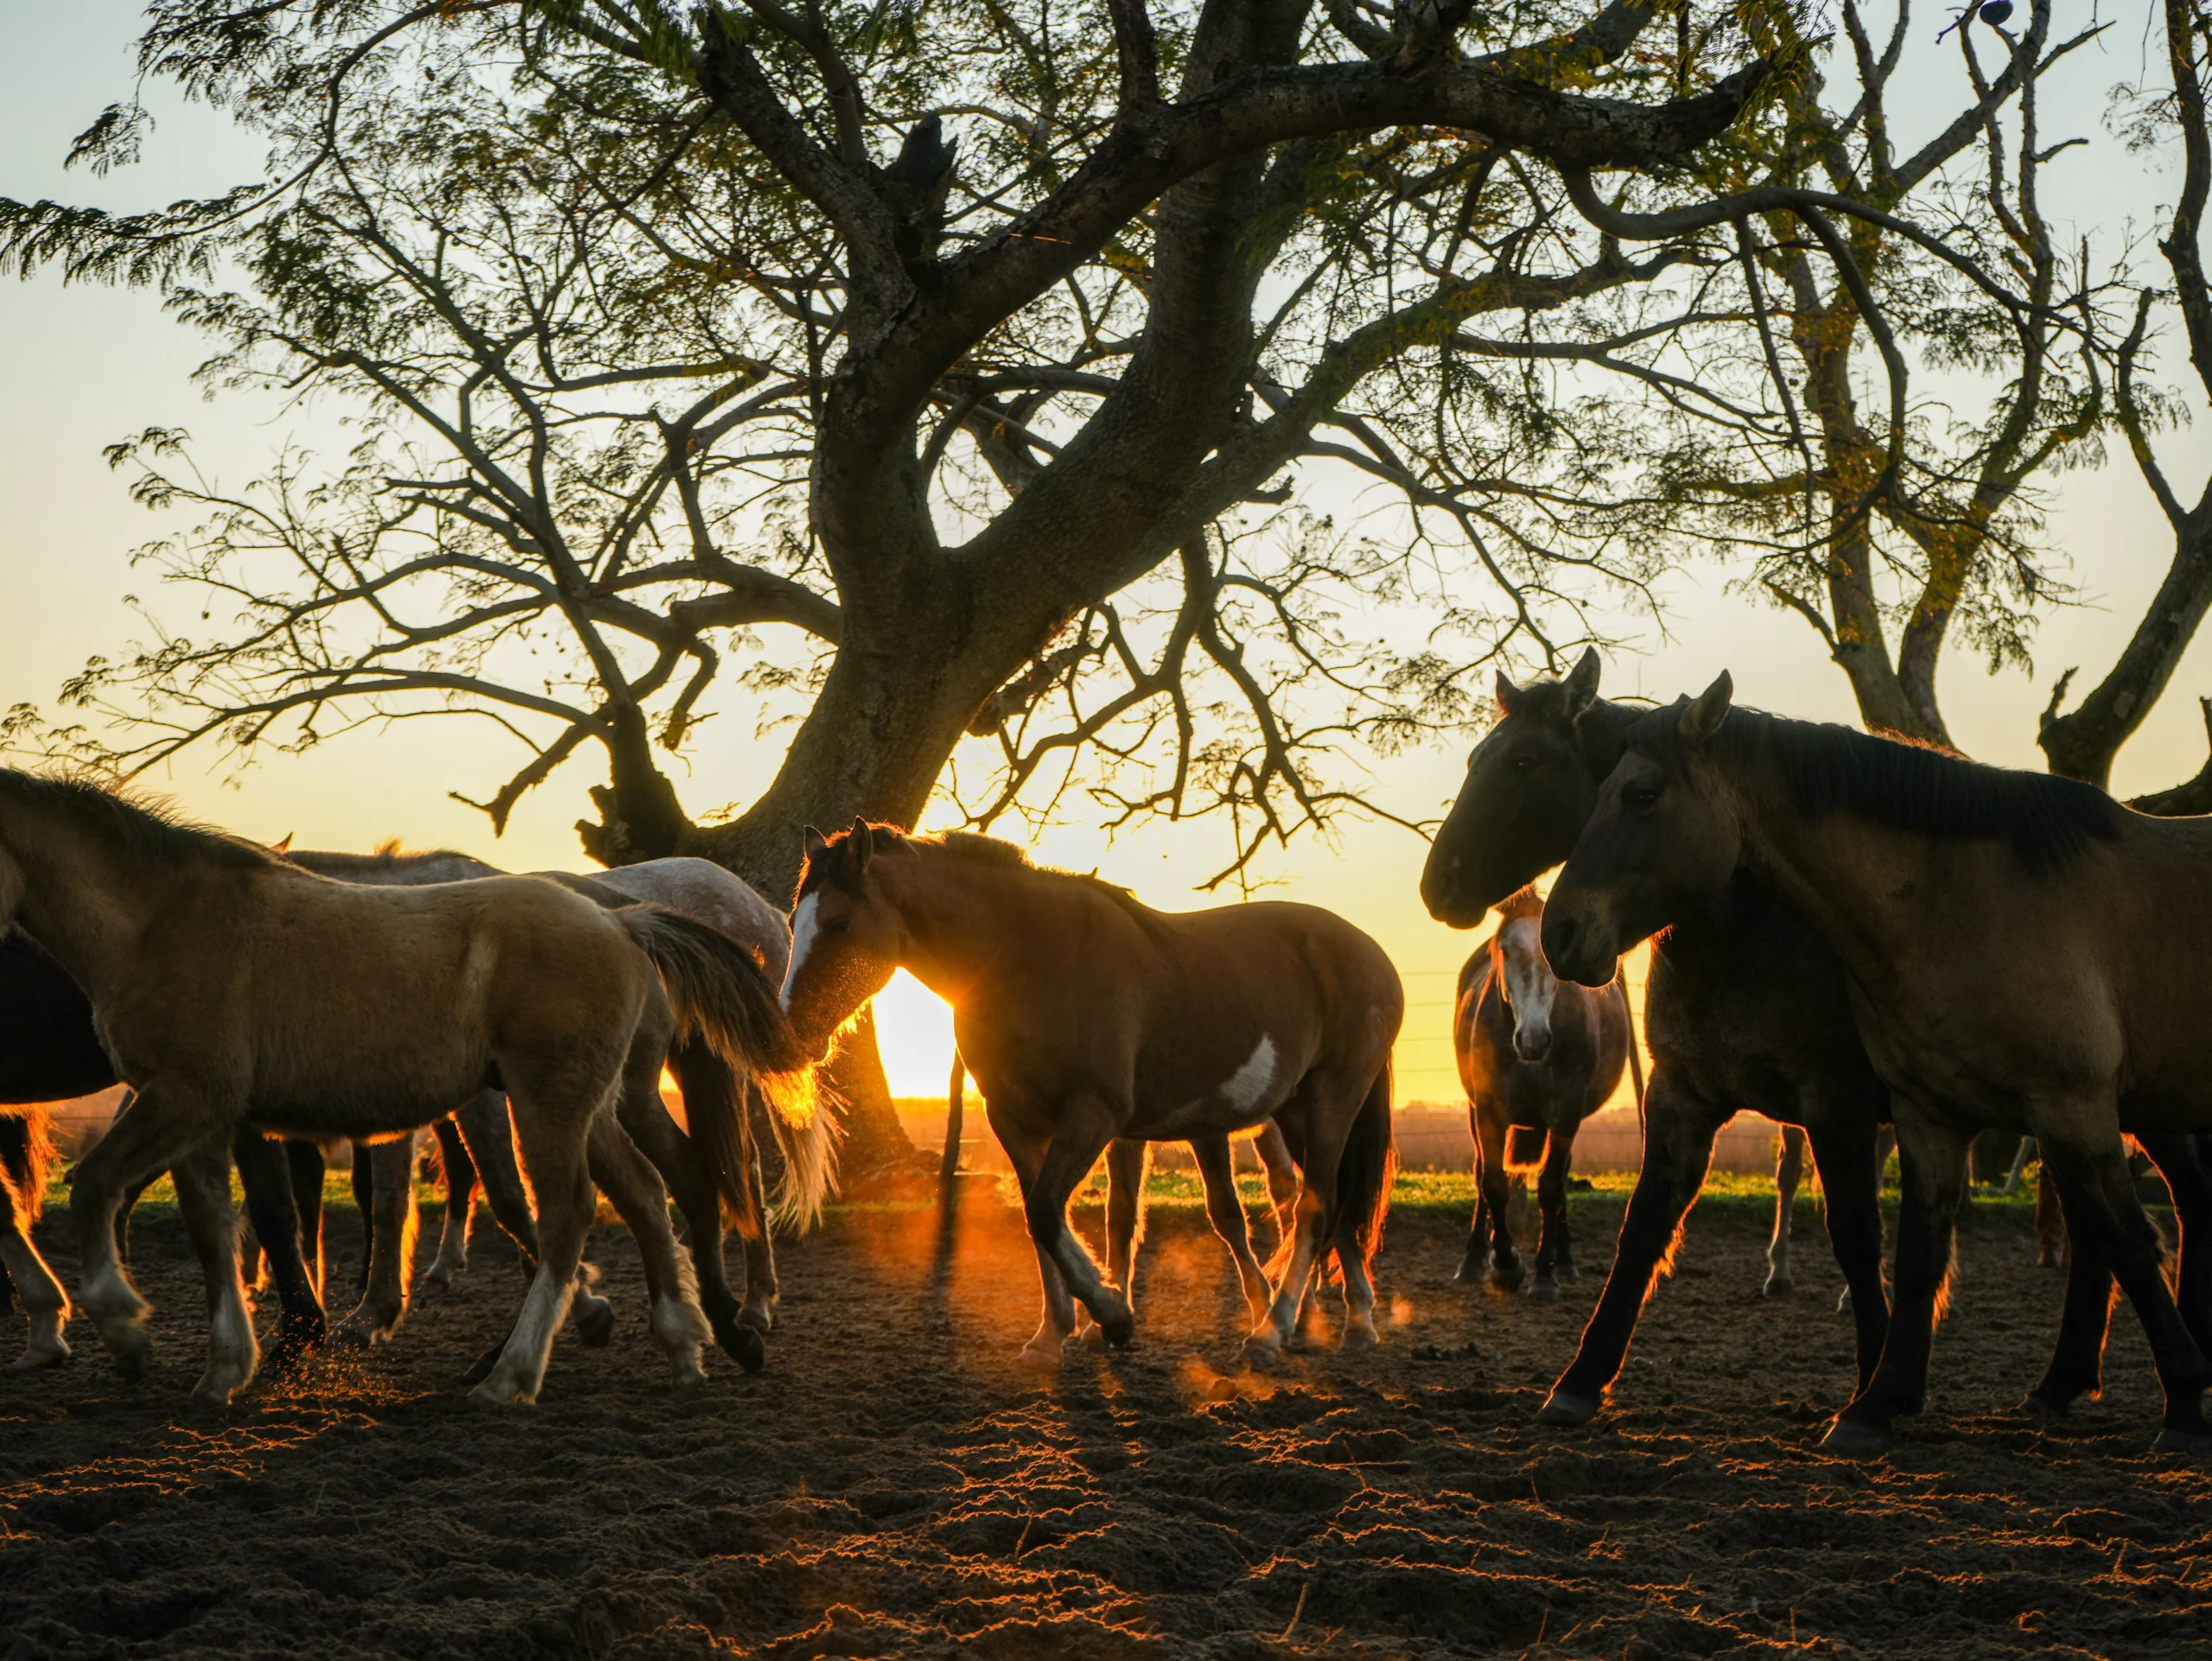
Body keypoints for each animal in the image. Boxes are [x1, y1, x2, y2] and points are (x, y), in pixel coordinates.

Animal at [0, 769, 823, 1405]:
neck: (162, 922)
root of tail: (622, 921)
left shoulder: (186, 1100)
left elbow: (96, 1186)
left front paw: (122, 1327)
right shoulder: (203, 1117)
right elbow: (215, 1231)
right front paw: (225, 1368)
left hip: (550, 1104)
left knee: (572, 1214)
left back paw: (515, 1374)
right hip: (589, 1106)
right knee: (652, 1192)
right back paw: (688, 1343)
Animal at [779, 822, 1400, 1366]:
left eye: (838, 923)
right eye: (793, 921)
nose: (793, 1029)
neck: (1028, 959)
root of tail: (1368, 952)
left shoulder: (1094, 1116)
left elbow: (1048, 1213)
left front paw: (1112, 1314)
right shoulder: (1015, 1122)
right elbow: (1042, 1222)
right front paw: (1053, 1335)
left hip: (1331, 1100)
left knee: (1315, 1207)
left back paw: (1273, 1331)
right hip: (1296, 1113)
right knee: (1335, 1204)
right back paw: (1358, 1322)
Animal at [1453, 889, 1637, 1303]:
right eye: (1506, 950)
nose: (1533, 1039)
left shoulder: (1567, 1113)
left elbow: (1551, 1188)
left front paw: (1543, 1276)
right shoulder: (1488, 1111)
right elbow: (1493, 1184)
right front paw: (1504, 1265)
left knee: (1561, 1175)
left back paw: (1563, 1262)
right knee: (1481, 1174)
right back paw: (1472, 1261)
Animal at [1542, 674, 2212, 1452]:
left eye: (1642, 795)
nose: (1559, 933)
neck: (1965, 900)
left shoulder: (2067, 1107)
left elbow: (2132, 1246)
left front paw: (2185, 1400)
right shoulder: (1929, 1115)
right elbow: (1919, 1252)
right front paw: (1876, 1403)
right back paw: (2060, 1386)